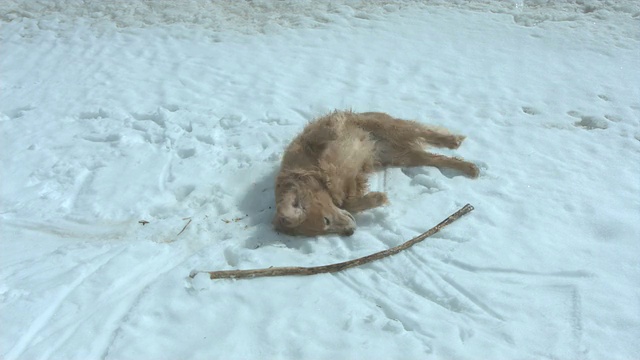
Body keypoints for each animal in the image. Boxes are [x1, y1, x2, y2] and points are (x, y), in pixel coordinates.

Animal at [272, 111, 478, 238]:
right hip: (404, 157)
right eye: (324, 230)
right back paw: (469, 167)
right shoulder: (356, 175)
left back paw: (453, 141)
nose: (350, 233)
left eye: (326, 220)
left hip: (391, 126)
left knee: (426, 132)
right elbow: (349, 201)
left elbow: (325, 138)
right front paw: (376, 198)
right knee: (437, 158)